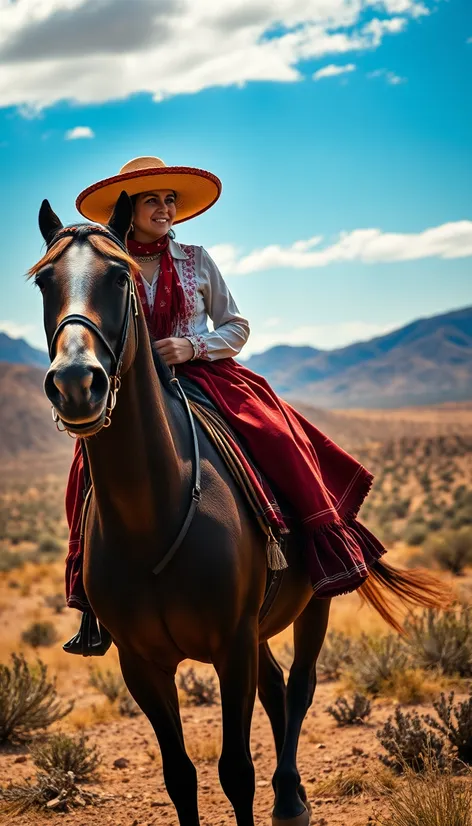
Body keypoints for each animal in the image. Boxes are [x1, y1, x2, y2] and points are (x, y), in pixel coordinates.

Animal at [33, 190, 446, 820]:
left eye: (119, 276)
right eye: (43, 281)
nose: (77, 382)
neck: (151, 519)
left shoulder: (230, 646)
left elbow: (236, 772)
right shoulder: (141, 663)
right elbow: (180, 776)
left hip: (313, 602)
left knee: (298, 687)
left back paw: (290, 800)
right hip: (257, 629)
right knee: (275, 686)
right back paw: (291, 796)